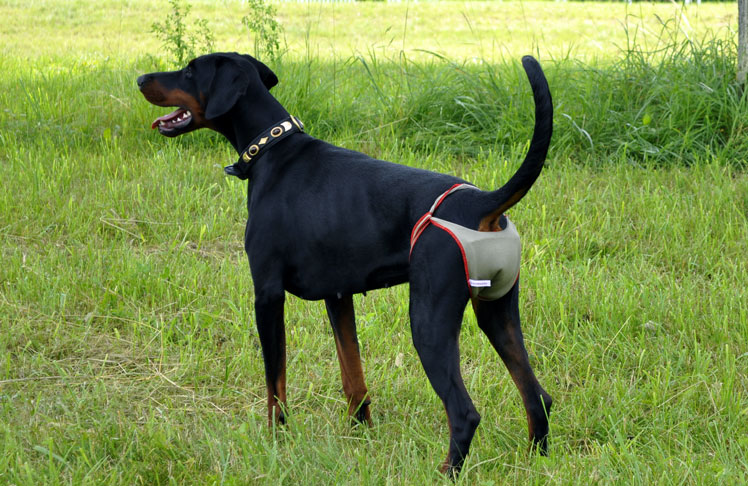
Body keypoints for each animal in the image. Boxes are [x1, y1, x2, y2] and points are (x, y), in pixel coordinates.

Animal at [137, 53, 552, 474]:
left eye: (190, 70)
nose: (140, 79)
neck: (271, 150)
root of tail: (483, 203)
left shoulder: (267, 295)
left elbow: (275, 383)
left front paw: (277, 439)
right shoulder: (338, 296)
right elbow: (352, 373)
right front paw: (359, 432)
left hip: (428, 322)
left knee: (464, 413)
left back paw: (445, 472)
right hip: (497, 314)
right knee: (537, 396)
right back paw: (537, 459)